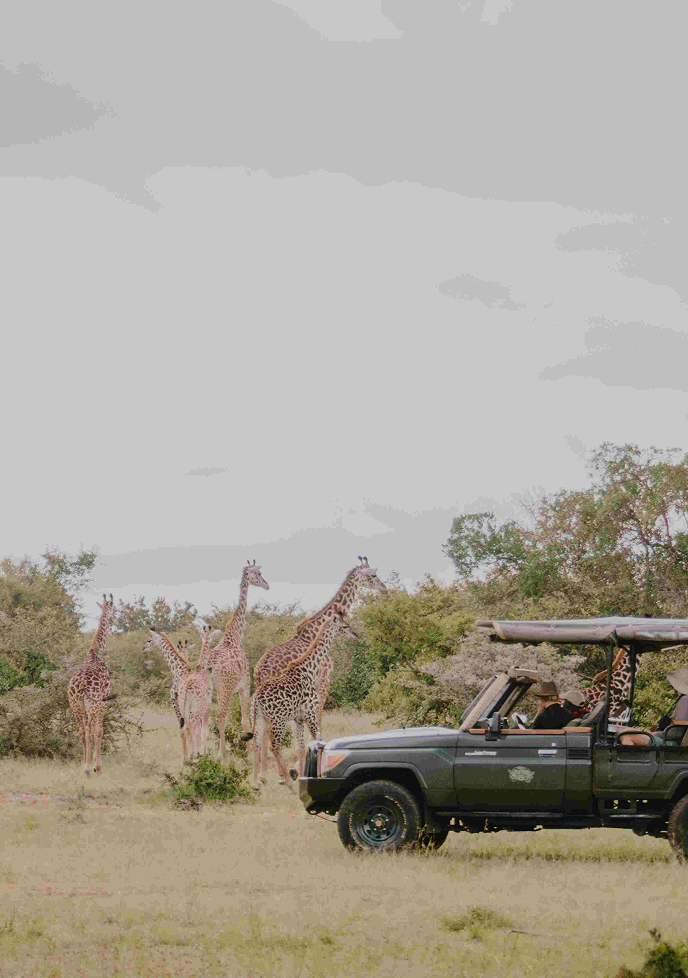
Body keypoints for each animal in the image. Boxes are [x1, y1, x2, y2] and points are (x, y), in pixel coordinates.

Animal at [68, 594, 118, 775]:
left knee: (81, 731)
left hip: (74, 705)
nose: (117, 620)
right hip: (91, 704)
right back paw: (89, 767)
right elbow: (99, 731)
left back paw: (84, 764)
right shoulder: (103, 702)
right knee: (89, 731)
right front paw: (98, 764)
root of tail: (80, 687)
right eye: (115, 609)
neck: (96, 653)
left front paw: (93, 761)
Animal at [208, 560, 270, 756]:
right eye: (259, 573)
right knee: (220, 717)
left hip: (210, 691)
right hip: (226, 689)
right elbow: (245, 720)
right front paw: (250, 752)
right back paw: (221, 755)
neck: (236, 635)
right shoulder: (245, 686)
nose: (267, 585)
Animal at [244, 610, 346, 791]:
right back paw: (288, 783)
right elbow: (317, 740)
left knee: (257, 742)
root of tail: (256, 697)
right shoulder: (311, 712)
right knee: (274, 745)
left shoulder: (299, 718)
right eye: (345, 625)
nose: (355, 634)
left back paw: (257, 782)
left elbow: (301, 745)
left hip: (260, 718)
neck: (309, 669)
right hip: (279, 720)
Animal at [253, 557, 386, 777]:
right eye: (373, 575)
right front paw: (305, 764)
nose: (384, 588)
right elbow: (318, 722)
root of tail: (259, 670)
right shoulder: (323, 681)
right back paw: (271, 775)